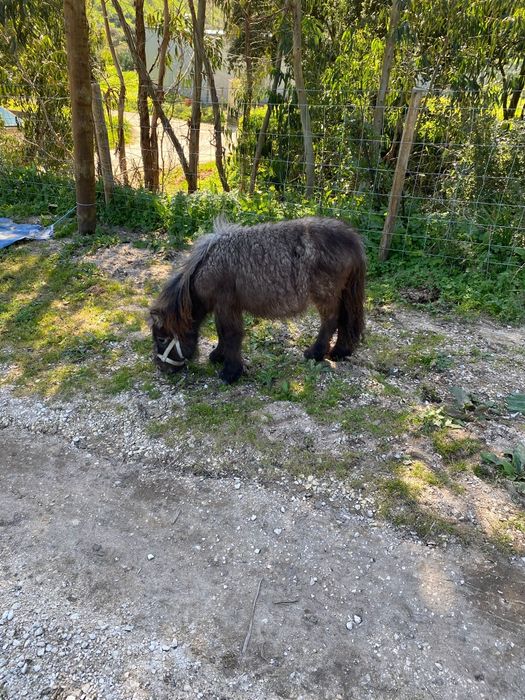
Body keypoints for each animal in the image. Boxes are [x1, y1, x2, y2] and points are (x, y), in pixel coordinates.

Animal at [150, 217, 366, 384]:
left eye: (161, 338)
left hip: (325, 295)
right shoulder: (226, 307)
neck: (208, 265)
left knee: (331, 321)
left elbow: (230, 334)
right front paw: (219, 356)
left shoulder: (226, 305)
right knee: (345, 320)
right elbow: (222, 333)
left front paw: (230, 372)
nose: (161, 368)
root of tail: (352, 239)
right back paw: (340, 351)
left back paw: (315, 353)